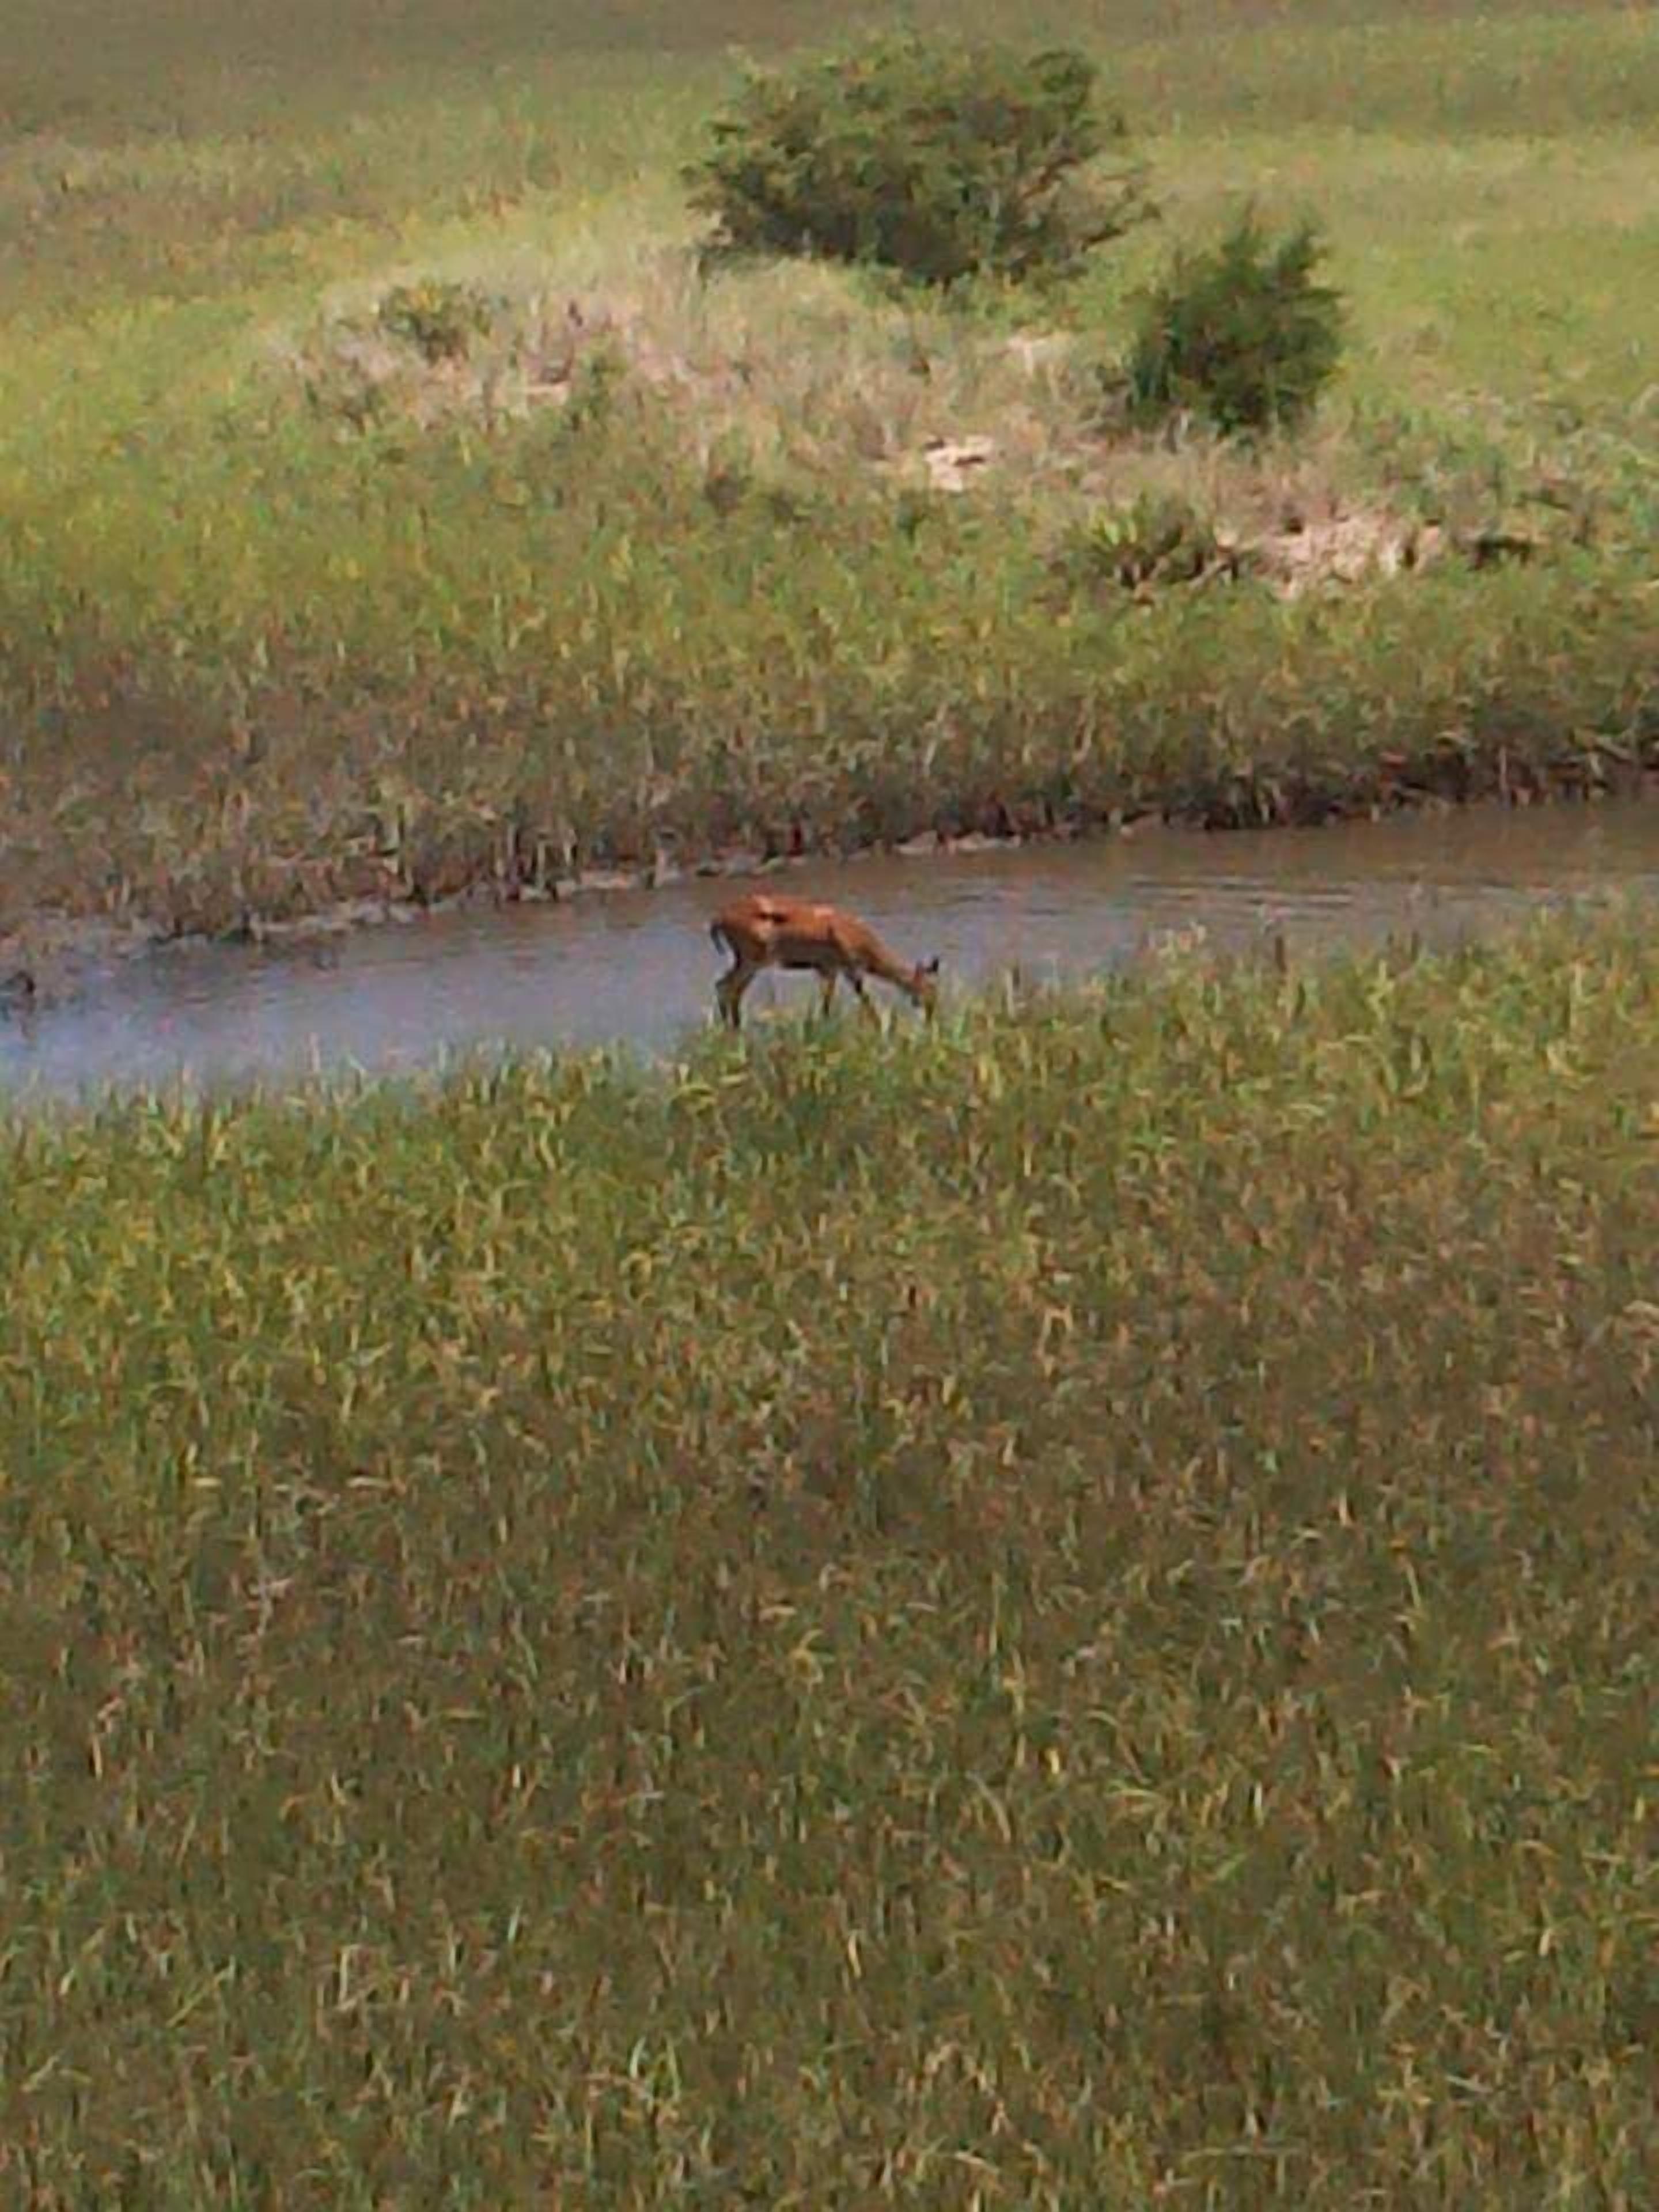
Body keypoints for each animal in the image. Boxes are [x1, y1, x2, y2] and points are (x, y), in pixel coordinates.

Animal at [708, 893, 939, 1031]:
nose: (931, 1017)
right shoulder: (849, 967)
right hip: (752, 958)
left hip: (748, 961)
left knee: (729, 988)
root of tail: (718, 919)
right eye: (929, 987)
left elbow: (827, 1004)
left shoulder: (829, 968)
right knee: (725, 986)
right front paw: (880, 1027)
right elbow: (864, 998)